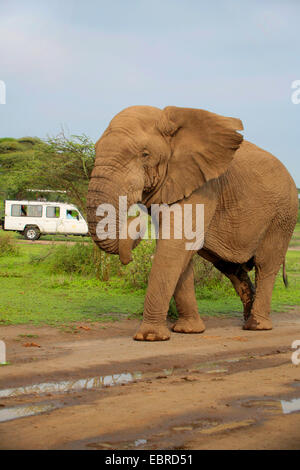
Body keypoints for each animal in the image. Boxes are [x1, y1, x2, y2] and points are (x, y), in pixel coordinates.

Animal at [86, 106, 298, 342]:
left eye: (145, 154)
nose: (135, 220)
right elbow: (180, 251)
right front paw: (187, 331)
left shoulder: (204, 186)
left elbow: (174, 246)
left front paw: (150, 337)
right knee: (230, 267)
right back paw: (246, 321)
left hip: (283, 216)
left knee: (265, 265)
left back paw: (257, 326)